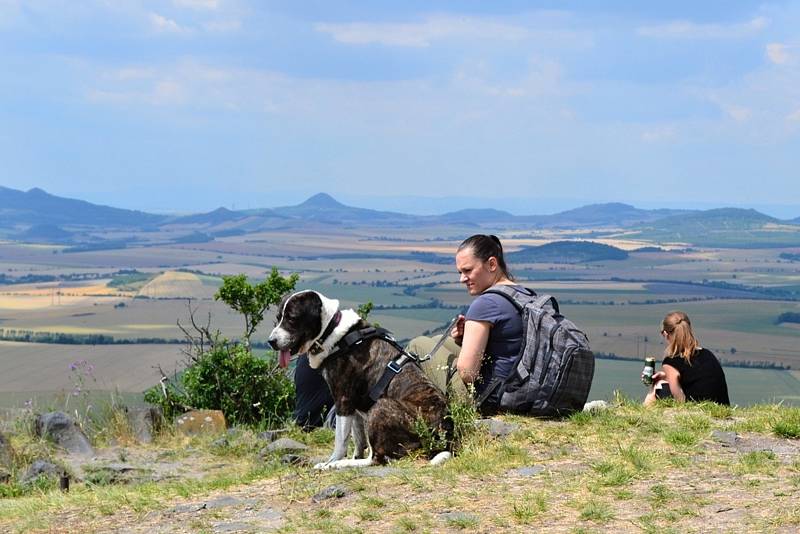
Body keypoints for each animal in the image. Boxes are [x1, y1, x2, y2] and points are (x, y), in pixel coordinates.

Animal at [268, 292, 444, 472]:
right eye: (278, 318)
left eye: (292, 318)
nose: (271, 341)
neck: (331, 331)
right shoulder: (354, 408)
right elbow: (358, 438)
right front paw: (352, 456)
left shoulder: (343, 400)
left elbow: (340, 441)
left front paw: (330, 463)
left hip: (381, 406)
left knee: (376, 458)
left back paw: (341, 464)